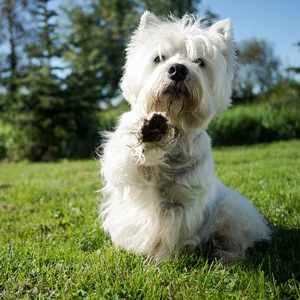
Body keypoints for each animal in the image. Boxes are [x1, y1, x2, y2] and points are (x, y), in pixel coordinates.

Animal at [99, 11, 272, 260]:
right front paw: (151, 132)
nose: (178, 69)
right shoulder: (125, 170)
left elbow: (167, 235)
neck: (175, 130)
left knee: (235, 237)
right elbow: (129, 159)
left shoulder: (181, 202)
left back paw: (226, 256)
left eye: (199, 61)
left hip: (234, 211)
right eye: (159, 58)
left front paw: (160, 260)